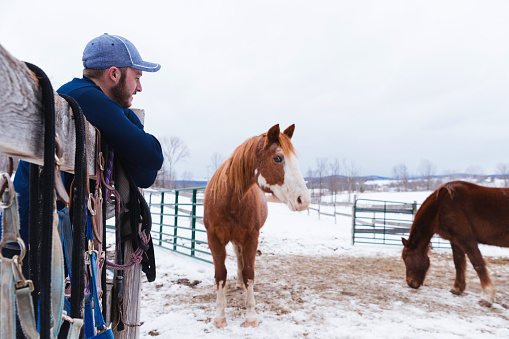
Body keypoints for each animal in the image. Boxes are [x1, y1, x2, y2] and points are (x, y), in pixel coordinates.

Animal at [202, 125, 310, 330]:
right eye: (278, 158)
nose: (303, 200)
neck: (228, 199)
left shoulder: (251, 238)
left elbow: (248, 273)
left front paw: (251, 317)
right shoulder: (214, 239)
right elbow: (220, 274)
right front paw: (220, 317)